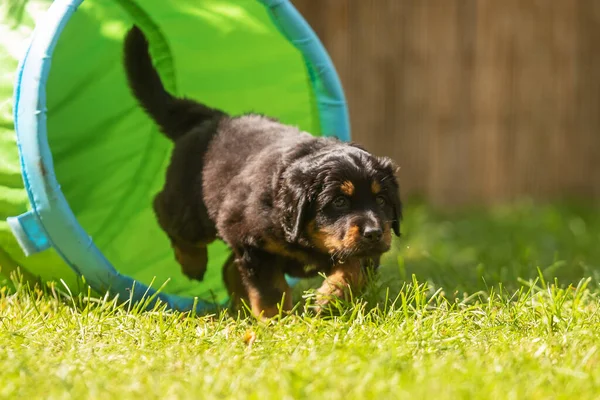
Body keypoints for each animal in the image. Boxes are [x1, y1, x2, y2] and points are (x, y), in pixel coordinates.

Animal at [123, 25, 400, 318]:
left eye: (382, 200)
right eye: (339, 202)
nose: (374, 233)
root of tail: (215, 118)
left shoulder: (364, 251)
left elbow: (354, 268)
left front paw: (330, 298)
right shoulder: (252, 240)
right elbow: (270, 288)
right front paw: (275, 319)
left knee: (228, 267)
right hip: (191, 212)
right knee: (166, 213)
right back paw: (193, 265)